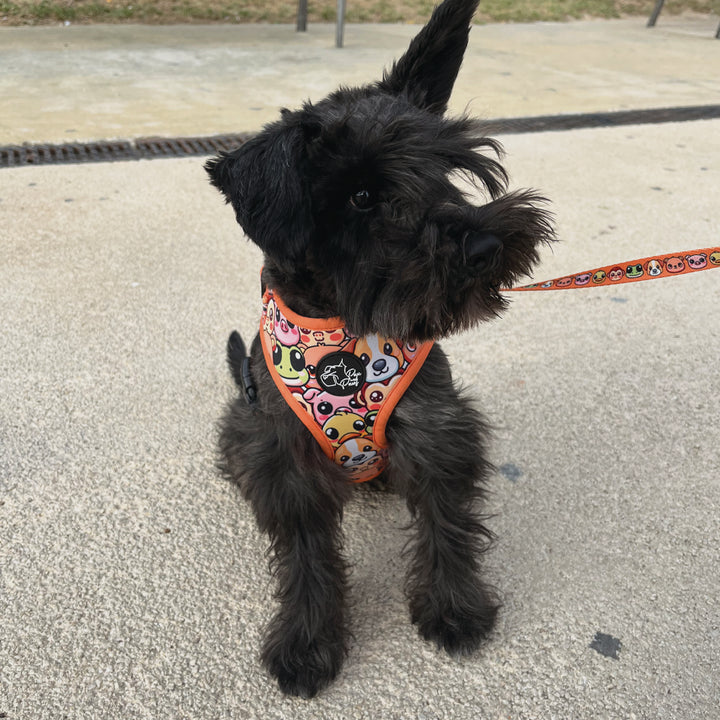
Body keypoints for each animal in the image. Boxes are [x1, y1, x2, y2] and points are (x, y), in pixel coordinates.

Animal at [205, 0, 556, 696]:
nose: (485, 247)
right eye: (361, 195)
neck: (346, 332)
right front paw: (307, 643)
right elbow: (306, 559)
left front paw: (453, 609)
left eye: (445, 168)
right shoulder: (287, 466)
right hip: (241, 426)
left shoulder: (437, 433)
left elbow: (447, 526)